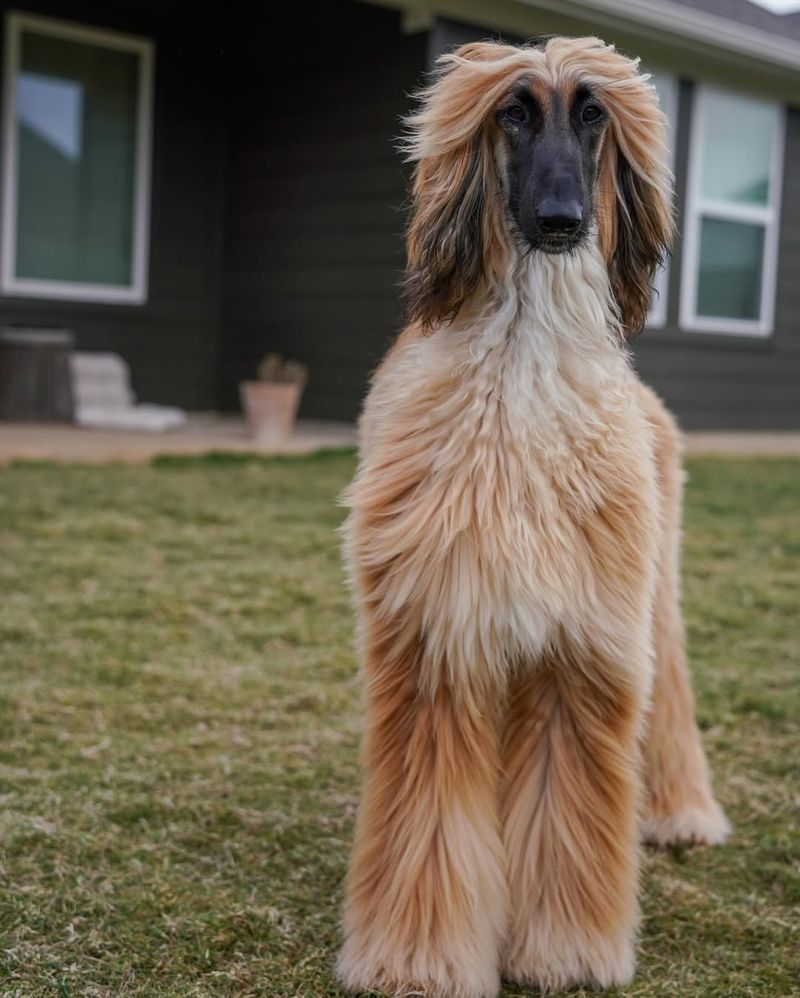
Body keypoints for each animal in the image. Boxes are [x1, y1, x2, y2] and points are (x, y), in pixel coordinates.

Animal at [338, 37, 732, 998]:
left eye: (592, 115)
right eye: (514, 113)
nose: (561, 222)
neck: (523, 360)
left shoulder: (582, 641)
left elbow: (567, 810)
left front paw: (564, 953)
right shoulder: (441, 631)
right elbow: (431, 821)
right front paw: (417, 959)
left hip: (650, 588)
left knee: (670, 688)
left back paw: (682, 812)